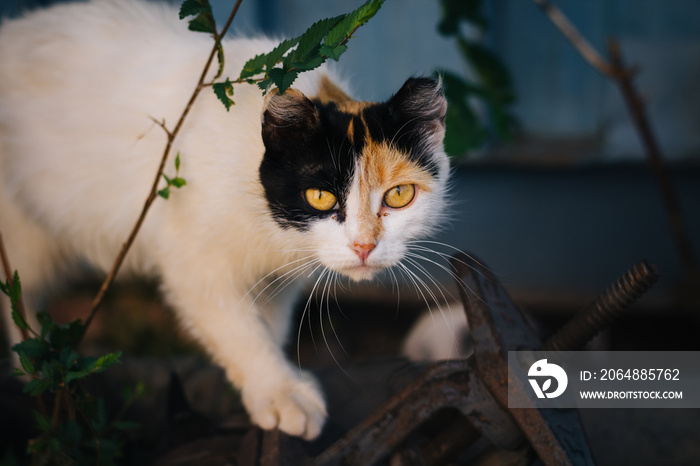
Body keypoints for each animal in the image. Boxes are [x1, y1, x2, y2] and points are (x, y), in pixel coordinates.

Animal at [0, 0, 448, 440]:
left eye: (399, 195)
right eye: (320, 197)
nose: (364, 246)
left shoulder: (276, 280)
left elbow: (268, 326)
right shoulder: (194, 264)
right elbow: (240, 330)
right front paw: (280, 392)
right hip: (23, 241)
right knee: (21, 299)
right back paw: (36, 371)